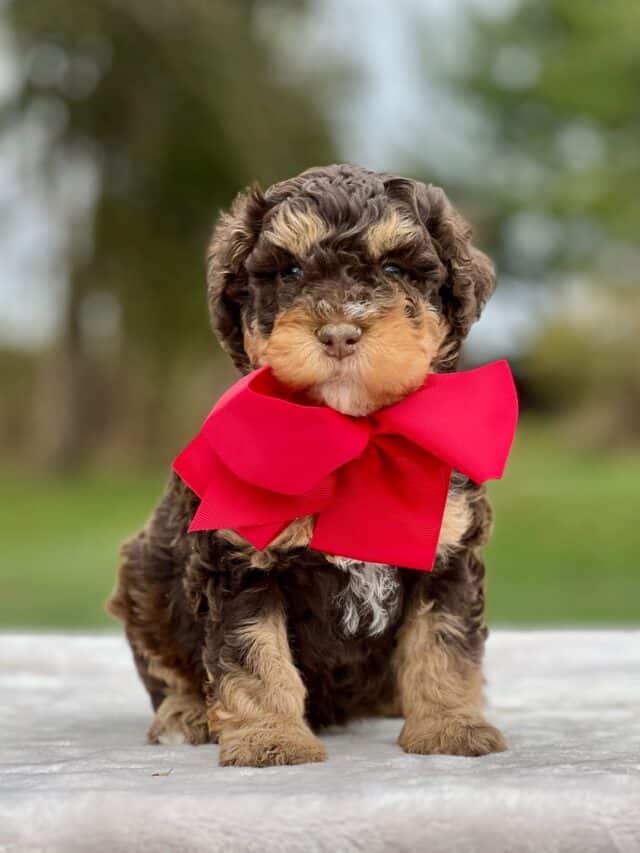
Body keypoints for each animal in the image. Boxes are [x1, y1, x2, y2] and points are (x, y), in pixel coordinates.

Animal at [111, 161, 510, 764]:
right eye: (290, 271)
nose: (339, 333)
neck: (353, 438)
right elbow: (254, 655)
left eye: (395, 267)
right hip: (145, 577)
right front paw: (269, 738)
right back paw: (185, 715)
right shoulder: (241, 562)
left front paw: (449, 726)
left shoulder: (448, 552)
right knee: (169, 666)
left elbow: (443, 643)